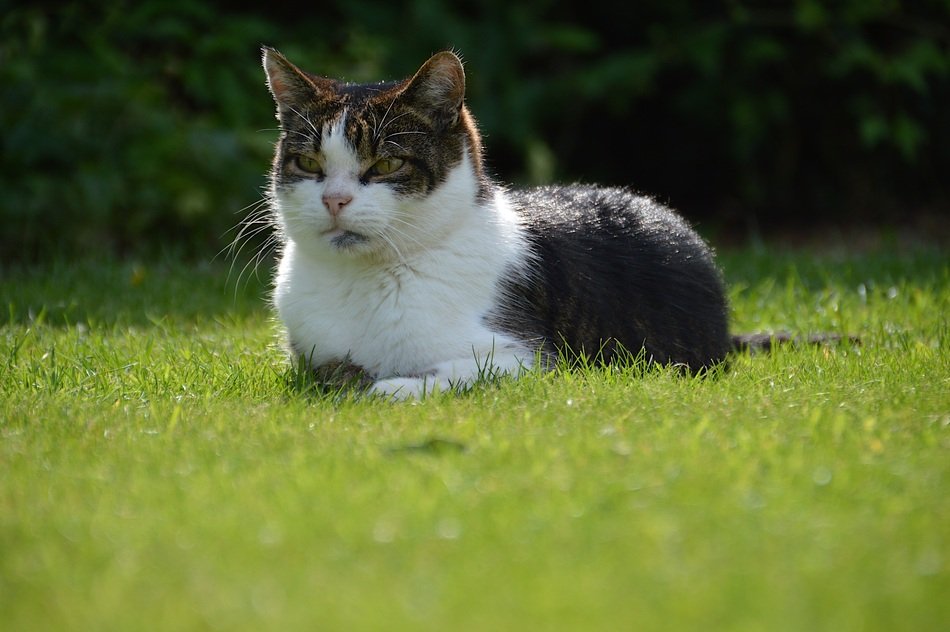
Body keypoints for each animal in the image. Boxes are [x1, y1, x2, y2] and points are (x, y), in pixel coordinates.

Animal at [260, 48, 820, 400]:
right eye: (308, 164)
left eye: (385, 165)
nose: (333, 200)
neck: (365, 275)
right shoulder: (304, 350)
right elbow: (322, 366)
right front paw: (350, 373)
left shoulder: (530, 357)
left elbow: (454, 372)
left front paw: (393, 385)